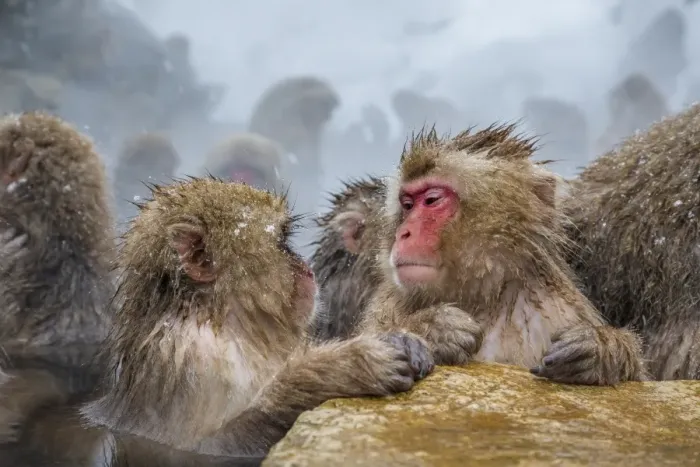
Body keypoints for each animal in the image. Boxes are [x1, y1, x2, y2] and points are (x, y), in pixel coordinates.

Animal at [356, 125, 647, 386]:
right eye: (407, 205)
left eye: (432, 200)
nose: (403, 233)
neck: (482, 295)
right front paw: (433, 328)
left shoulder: (562, 309)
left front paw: (601, 349)